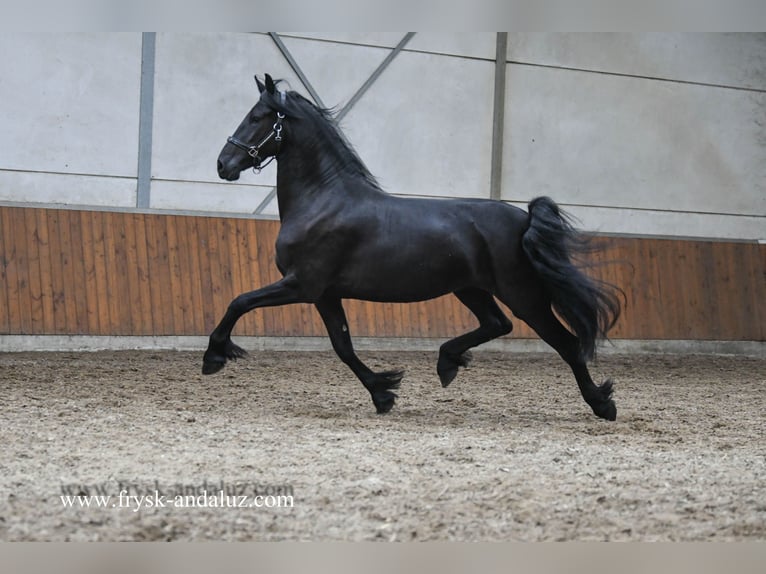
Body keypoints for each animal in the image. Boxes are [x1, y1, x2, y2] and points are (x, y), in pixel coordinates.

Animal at [203, 73, 623, 420]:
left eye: (257, 116)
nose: (223, 164)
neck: (322, 200)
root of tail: (523, 218)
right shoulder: (324, 294)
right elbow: (343, 346)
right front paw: (383, 393)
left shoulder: (301, 285)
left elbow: (239, 301)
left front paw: (214, 356)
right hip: (470, 288)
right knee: (497, 323)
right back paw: (448, 363)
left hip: (524, 295)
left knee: (566, 343)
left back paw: (602, 405)